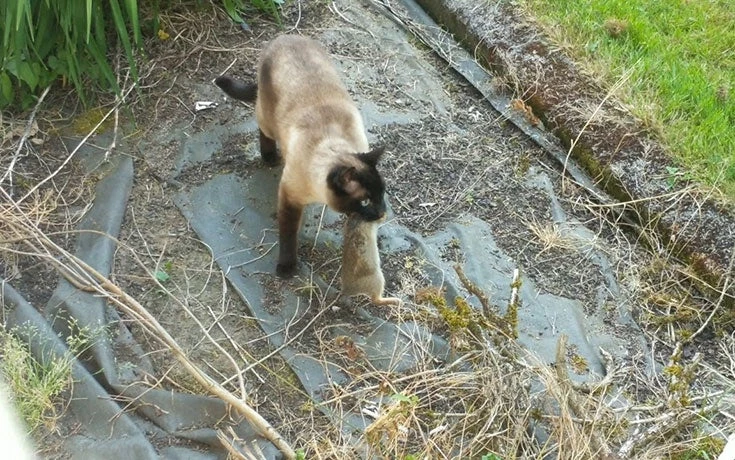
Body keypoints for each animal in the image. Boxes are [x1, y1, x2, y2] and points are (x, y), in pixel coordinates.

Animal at [216, 35, 388, 276]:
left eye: (382, 194)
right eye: (365, 200)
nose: (382, 212)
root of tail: (283, 37)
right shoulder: (289, 198)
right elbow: (288, 235)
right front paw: (287, 268)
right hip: (268, 121)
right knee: (263, 129)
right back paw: (269, 156)